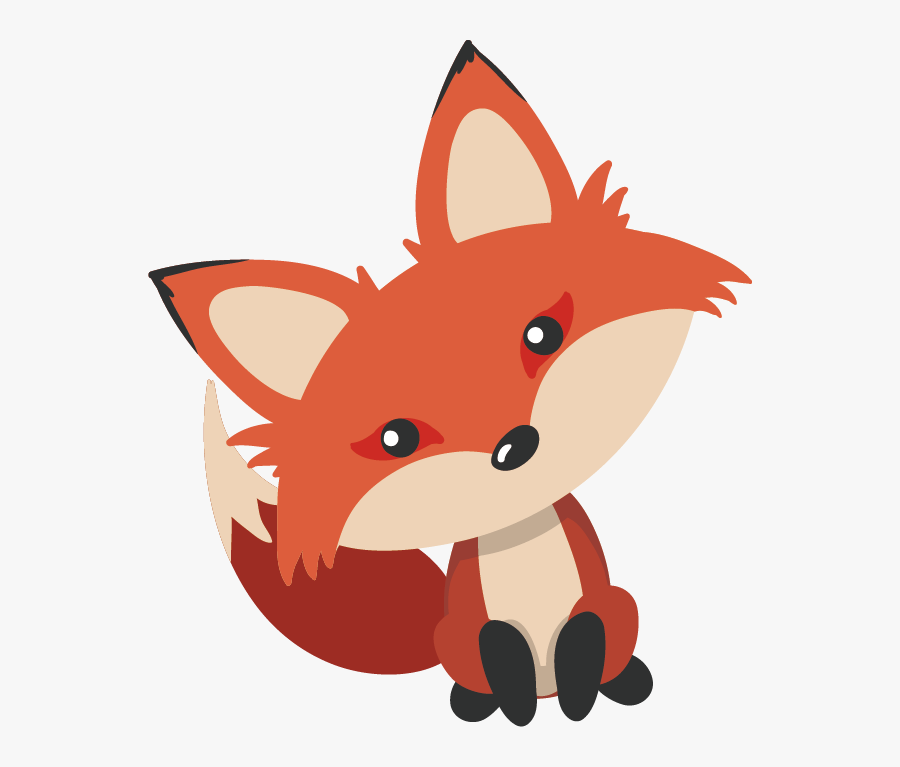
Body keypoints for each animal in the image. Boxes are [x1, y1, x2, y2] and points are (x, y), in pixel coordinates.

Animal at [150, 41, 749, 726]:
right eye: (395, 439)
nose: (515, 446)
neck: (520, 541)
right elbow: (503, 651)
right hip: (453, 641)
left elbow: (584, 639)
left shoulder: (597, 602)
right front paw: (520, 707)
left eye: (542, 335)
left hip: (624, 608)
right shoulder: (476, 624)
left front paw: (578, 697)